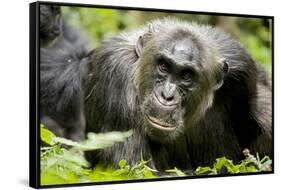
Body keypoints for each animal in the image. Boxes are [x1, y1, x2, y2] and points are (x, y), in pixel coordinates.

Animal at [84, 18, 270, 171]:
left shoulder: (243, 67)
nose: (167, 96)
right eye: (163, 66)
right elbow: (134, 168)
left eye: (186, 76)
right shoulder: (115, 75)